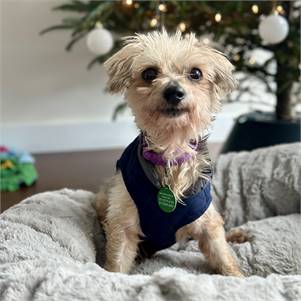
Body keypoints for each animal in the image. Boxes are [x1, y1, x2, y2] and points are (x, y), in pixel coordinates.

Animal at [95, 29, 243, 276]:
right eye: (149, 73)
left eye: (196, 73)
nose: (174, 91)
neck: (171, 151)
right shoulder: (122, 224)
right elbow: (117, 264)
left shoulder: (208, 225)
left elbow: (224, 257)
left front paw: (238, 277)